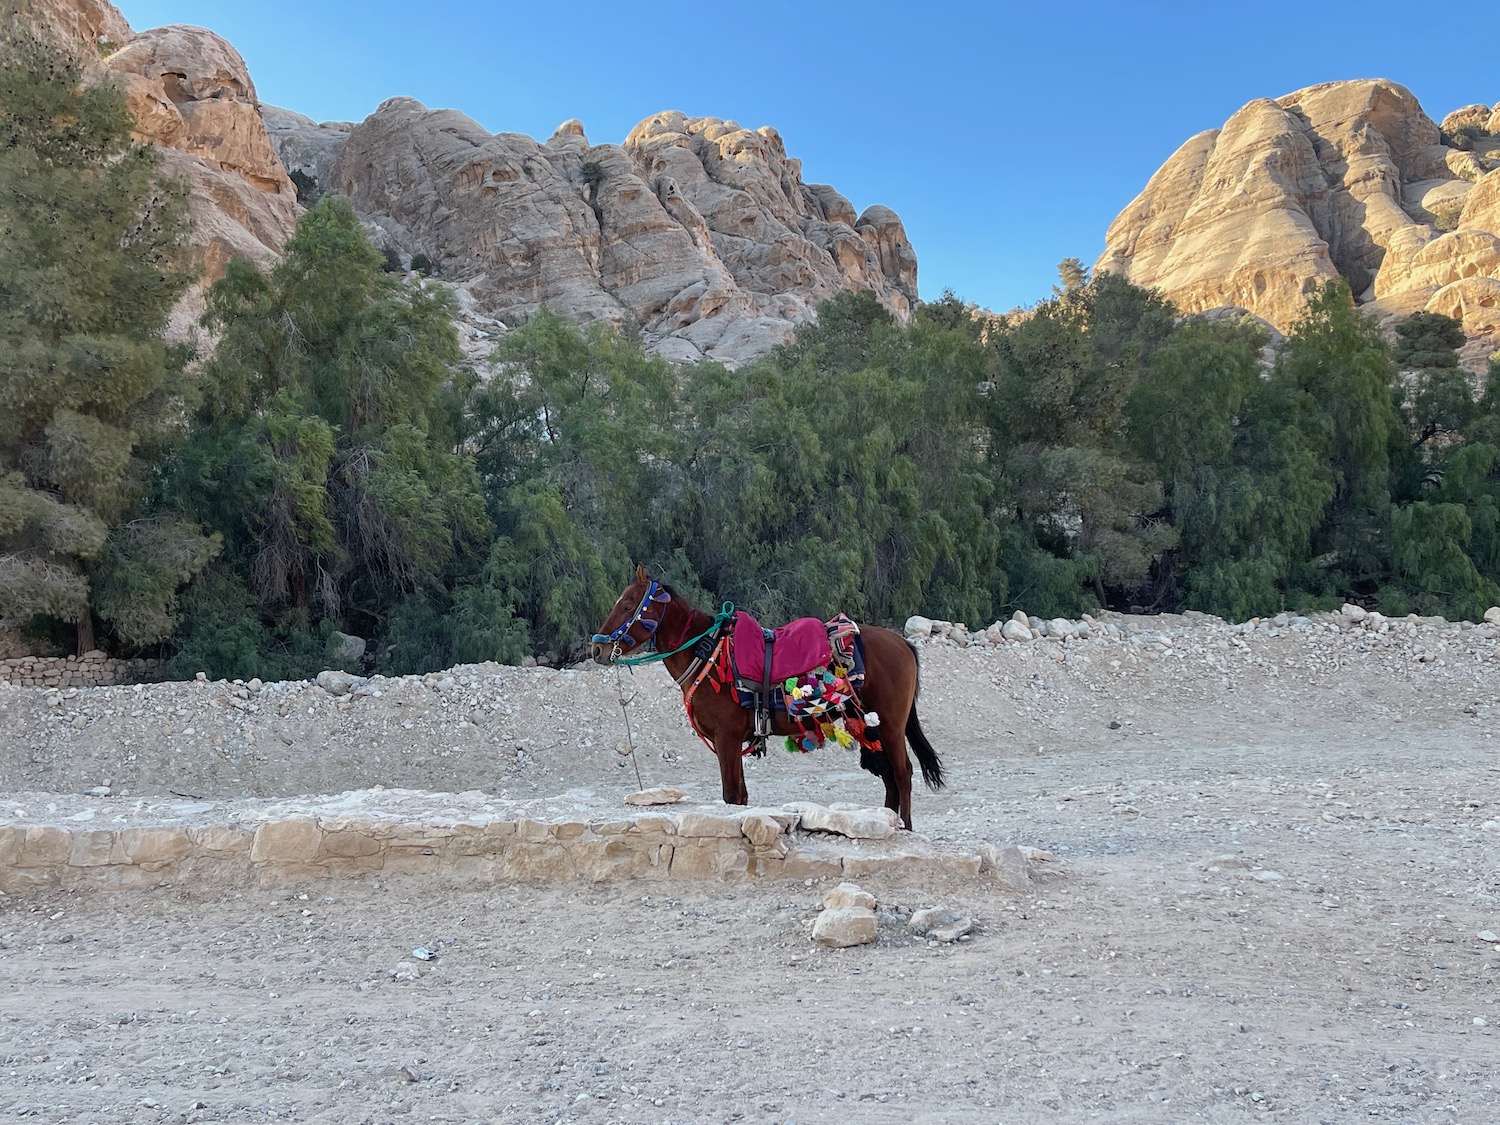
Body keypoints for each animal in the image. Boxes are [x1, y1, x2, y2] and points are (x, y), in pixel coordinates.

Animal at [591, 564, 942, 828]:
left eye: (626, 606)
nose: (597, 649)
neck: (708, 654)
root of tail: (902, 644)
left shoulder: (727, 739)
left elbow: (731, 795)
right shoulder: (732, 743)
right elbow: (741, 797)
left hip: (891, 726)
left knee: (902, 774)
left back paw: (905, 827)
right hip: (870, 725)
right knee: (889, 776)